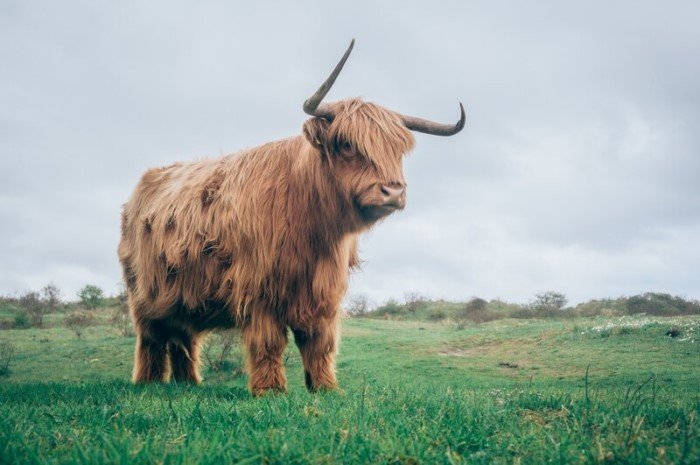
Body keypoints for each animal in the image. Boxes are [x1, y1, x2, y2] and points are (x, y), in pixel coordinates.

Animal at [117, 40, 462, 396]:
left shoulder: (324, 293)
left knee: (182, 338)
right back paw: (148, 382)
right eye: (346, 144)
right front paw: (270, 391)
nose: (392, 192)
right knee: (152, 338)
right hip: (144, 295)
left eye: (397, 150)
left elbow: (319, 343)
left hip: (183, 297)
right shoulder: (258, 289)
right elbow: (269, 342)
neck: (313, 229)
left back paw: (188, 383)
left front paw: (326, 388)